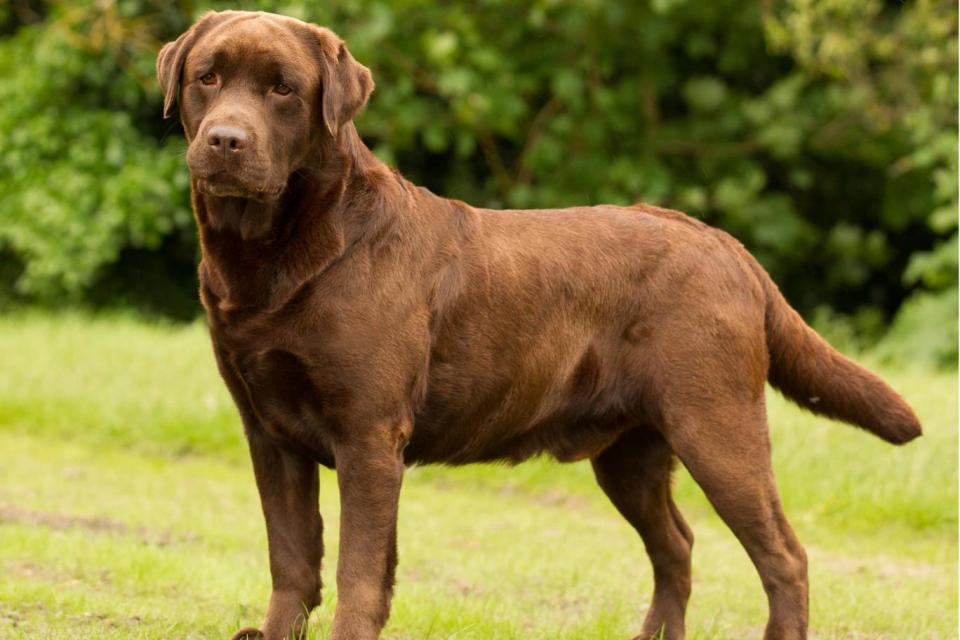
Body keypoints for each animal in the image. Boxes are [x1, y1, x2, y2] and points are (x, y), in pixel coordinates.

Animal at [158, 11, 924, 640]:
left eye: (284, 89)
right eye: (208, 77)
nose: (226, 140)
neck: (278, 254)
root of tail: (723, 243)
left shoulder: (368, 434)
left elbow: (358, 571)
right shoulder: (269, 432)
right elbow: (291, 559)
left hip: (717, 425)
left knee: (784, 555)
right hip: (631, 451)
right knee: (676, 544)